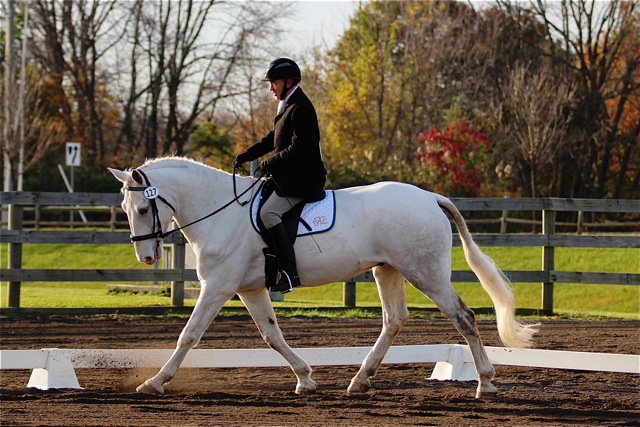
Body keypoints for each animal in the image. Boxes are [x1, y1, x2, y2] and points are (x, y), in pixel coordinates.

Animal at [107, 156, 536, 398]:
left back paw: (485, 382)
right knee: (394, 319)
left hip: (424, 272)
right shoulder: (249, 289)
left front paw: (155, 382)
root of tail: (430, 197)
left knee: (463, 317)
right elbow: (271, 335)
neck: (220, 210)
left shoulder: (218, 287)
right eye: (125, 209)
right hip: (388, 270)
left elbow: (189, 334)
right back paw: (360, 380)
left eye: (143, 209)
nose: (147, 256)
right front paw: (305, 378)